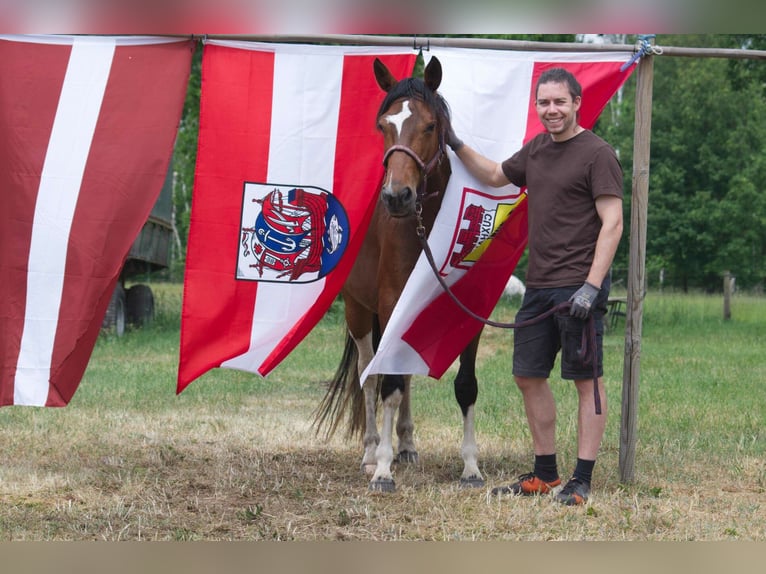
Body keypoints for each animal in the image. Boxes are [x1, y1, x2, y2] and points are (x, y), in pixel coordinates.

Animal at [314, 56, 484, 492]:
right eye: (383, 125)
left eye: (431, 125)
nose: (396, 197)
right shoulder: (390, 305)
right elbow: (386, 386)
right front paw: (383, 470)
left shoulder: (466, 311)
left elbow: (465, 387)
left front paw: (471, 467)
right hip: (359, 312)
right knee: (369, 376)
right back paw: (372, 452)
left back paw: (405, 444)